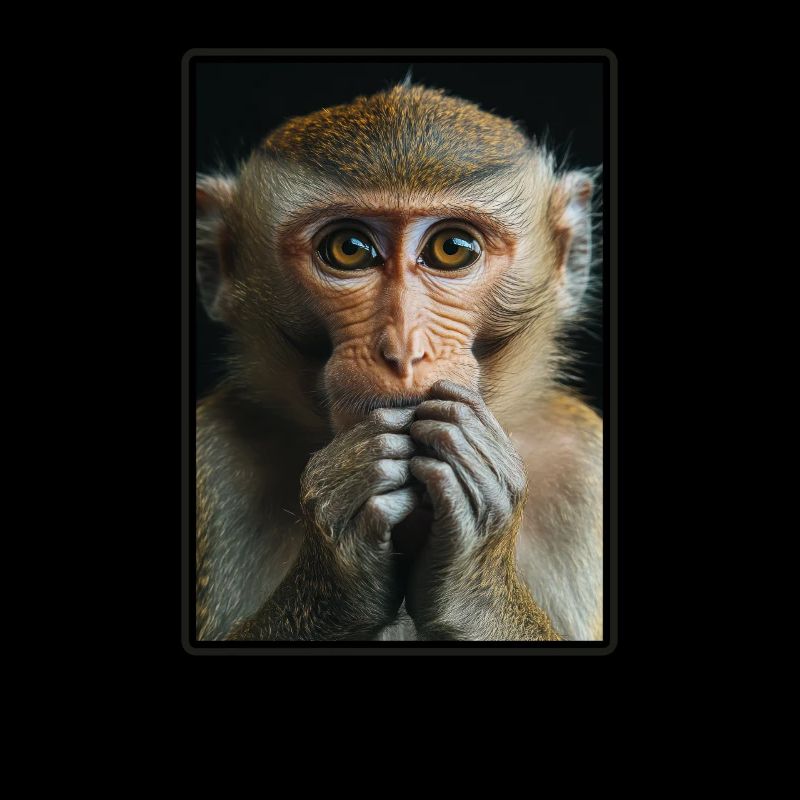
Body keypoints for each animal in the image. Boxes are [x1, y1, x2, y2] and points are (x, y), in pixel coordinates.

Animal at [195, 82, 602, 642]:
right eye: (349, 249)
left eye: (452, 248)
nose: (403, 349)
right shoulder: (213, 452)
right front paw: (340, 557)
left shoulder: (585, 466)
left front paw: (475, 576)